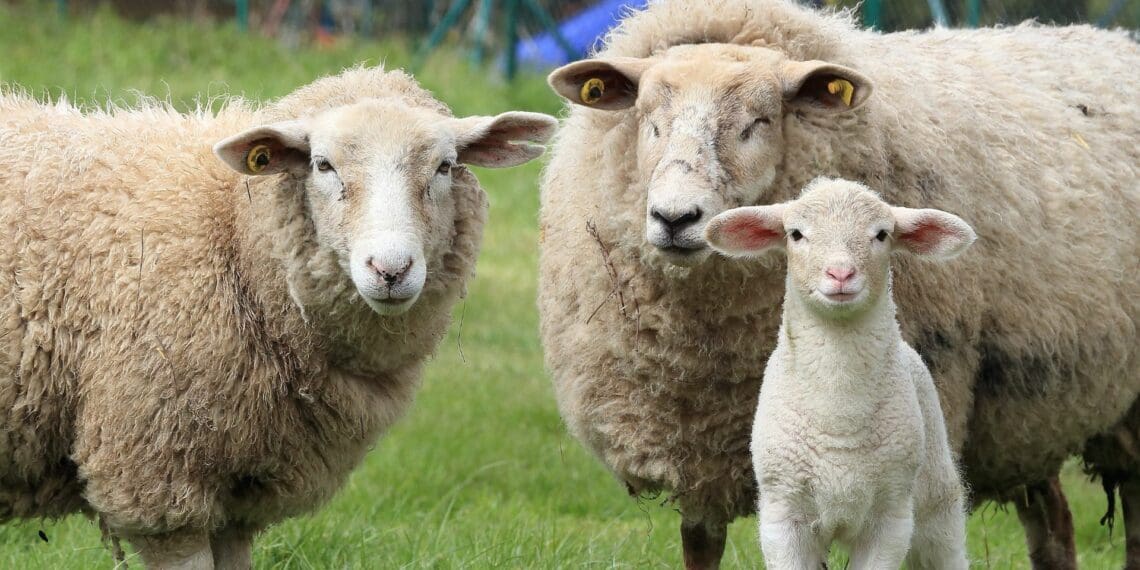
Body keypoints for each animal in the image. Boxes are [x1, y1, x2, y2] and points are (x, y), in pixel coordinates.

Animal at [0, 66, 557, 568]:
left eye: (444, 166)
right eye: (323, 165)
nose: (391, 269)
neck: (230, 231)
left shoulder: (240, 497)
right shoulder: (154, 476)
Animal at [704, 178, 971, 569]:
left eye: (882, 234)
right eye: (796, 234)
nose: (841, 274)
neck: (838, 411)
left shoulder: (890, 517)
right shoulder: (783, 515)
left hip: (937, 500)